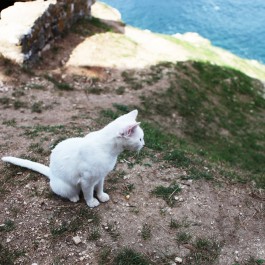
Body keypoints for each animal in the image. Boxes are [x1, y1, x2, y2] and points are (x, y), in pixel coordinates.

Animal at [1, 109, 144, 206]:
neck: (110, 151)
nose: (144, 144)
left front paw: (101, 196)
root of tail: (51, 173)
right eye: (140, 139)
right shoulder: (87, 180)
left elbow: (99, 188)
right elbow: (88, 193)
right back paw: (74, 197)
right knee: (70, 192)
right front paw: (91, 202)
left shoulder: (101, 176)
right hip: (67, 186)